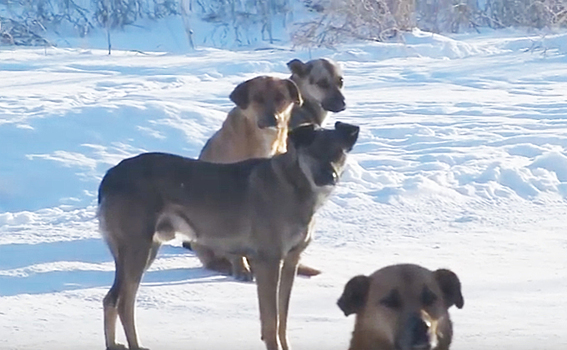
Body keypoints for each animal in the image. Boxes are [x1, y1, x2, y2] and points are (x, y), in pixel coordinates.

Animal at [98, 122, 360, 350]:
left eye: (339, 153)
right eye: (313, 152)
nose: (330, 176)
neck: (294, 185)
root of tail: (109, 176)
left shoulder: (291, 260)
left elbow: (283, 319)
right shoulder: (268, 260)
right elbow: (271, 320)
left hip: (143, 249)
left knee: (111, 300)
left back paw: (113, 344)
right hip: (137, 248)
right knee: (124, 303)